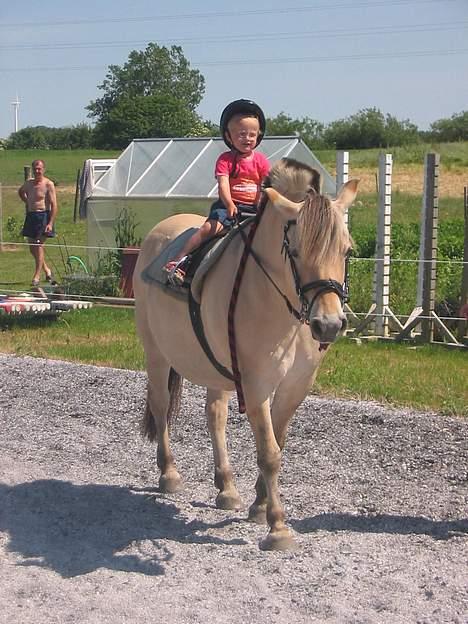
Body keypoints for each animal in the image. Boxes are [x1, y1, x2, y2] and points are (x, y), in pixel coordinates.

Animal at [133, 157, 358, 552]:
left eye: (347, 251)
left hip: (215, 368)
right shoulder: (255, 385)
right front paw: (277, 526)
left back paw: (226, 487)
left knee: (215, 417)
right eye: (294, 251)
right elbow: (269, 452)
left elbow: (278, 442)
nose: (328, 324)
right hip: (157, 355)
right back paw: (169, 474)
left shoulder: (295, 386)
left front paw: (259, 503)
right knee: (161, 408)